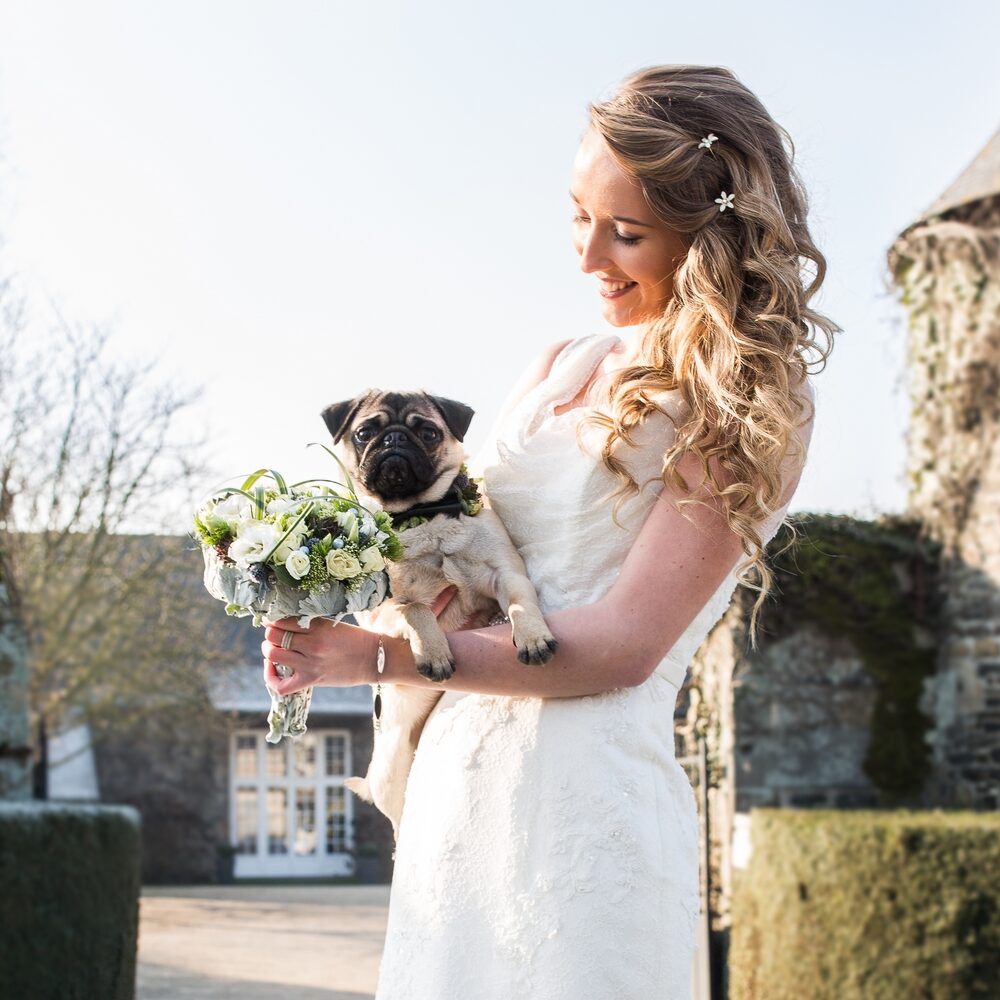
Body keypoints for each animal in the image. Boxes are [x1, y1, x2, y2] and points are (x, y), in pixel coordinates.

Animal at [320, 386, 556, 840]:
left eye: (427, 432)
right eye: (364, 433)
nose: (394, 440)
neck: (421, 517)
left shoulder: (506, 574)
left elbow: (523, 603)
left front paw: (533, 635)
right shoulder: (383, 610)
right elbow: (416, 610)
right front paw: (434, 651)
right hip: (395, 777)